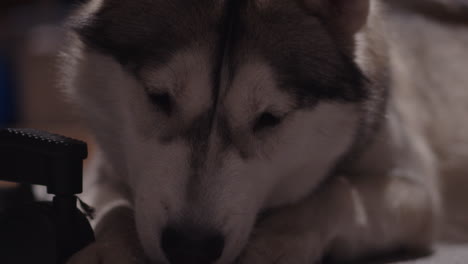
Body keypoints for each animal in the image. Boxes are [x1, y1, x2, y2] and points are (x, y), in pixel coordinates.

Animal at [62, 0, 468, 264]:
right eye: (158, 97)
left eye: (269, 118)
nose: (190, 249)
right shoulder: (107, 167)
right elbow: (107, 203)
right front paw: (108, 243)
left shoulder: (420, 195)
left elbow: (336, 191)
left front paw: (274, 241)